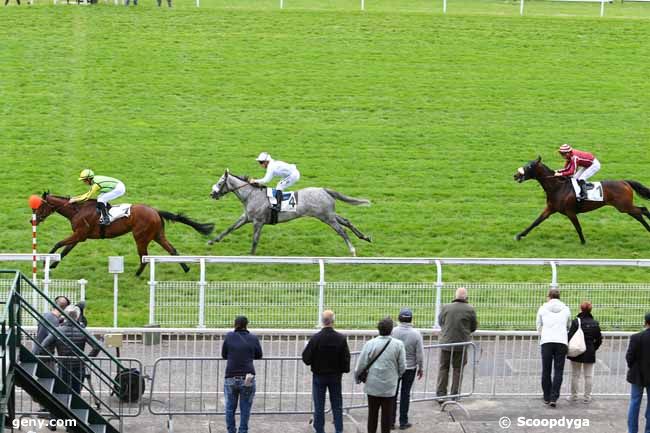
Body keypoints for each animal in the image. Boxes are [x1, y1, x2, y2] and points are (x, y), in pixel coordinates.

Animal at [33, 192, 213, 276]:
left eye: (40, 206)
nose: (32, 220)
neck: (77, 210)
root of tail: (155, 211)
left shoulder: (79, 235)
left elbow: (58, 244)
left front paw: (45, 261)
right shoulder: (79, 236)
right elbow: (65, 250)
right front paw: (52, 265)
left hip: (141, 237)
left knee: (144, 256)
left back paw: (137, 274)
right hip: (157, 235)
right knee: (172, 250)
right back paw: (186, 268)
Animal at [208, 169, 370, 255]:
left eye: (220, 183)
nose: (212, 194)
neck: (251, 195)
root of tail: (324, 190)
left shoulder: (258, 222)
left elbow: (255, 240)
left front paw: (251, 256)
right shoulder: (246, 218)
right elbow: (229, 228)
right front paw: (212, 241)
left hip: (326, 217)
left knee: (342, 230)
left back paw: (352, 250)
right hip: (329, 214)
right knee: (346, 222)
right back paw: (365, 237)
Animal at [512, 156, 648, 245]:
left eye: (529, 166)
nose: (515, 175)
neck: (558, 187)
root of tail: (625, 182)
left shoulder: (570, 212)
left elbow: (578, 227)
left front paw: (583, 242)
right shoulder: (550, 209)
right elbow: (536, 222)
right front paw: (519, 235)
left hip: (623, 206)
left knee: (642, 210)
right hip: (625, 207)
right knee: (640, 213)